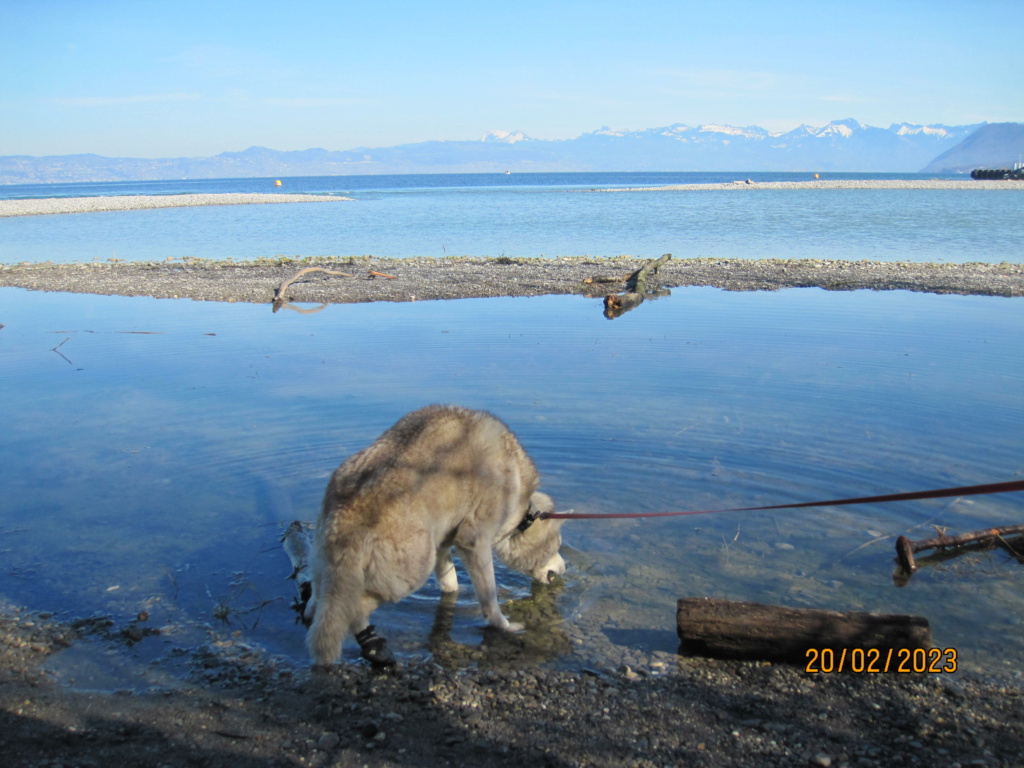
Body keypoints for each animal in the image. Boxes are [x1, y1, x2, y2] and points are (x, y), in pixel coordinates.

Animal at [305, 403, 569, 667]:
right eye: (556, 544)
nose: (565, 568)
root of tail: (351, 511)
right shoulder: (474, 540)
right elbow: (489, 596)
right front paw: (503, 625)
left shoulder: (442, 544)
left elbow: (450, 582)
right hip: (411, 571)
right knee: (354, 609)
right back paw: (371, 644)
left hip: (326, 559)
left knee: (320, 596)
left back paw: (311, 609)